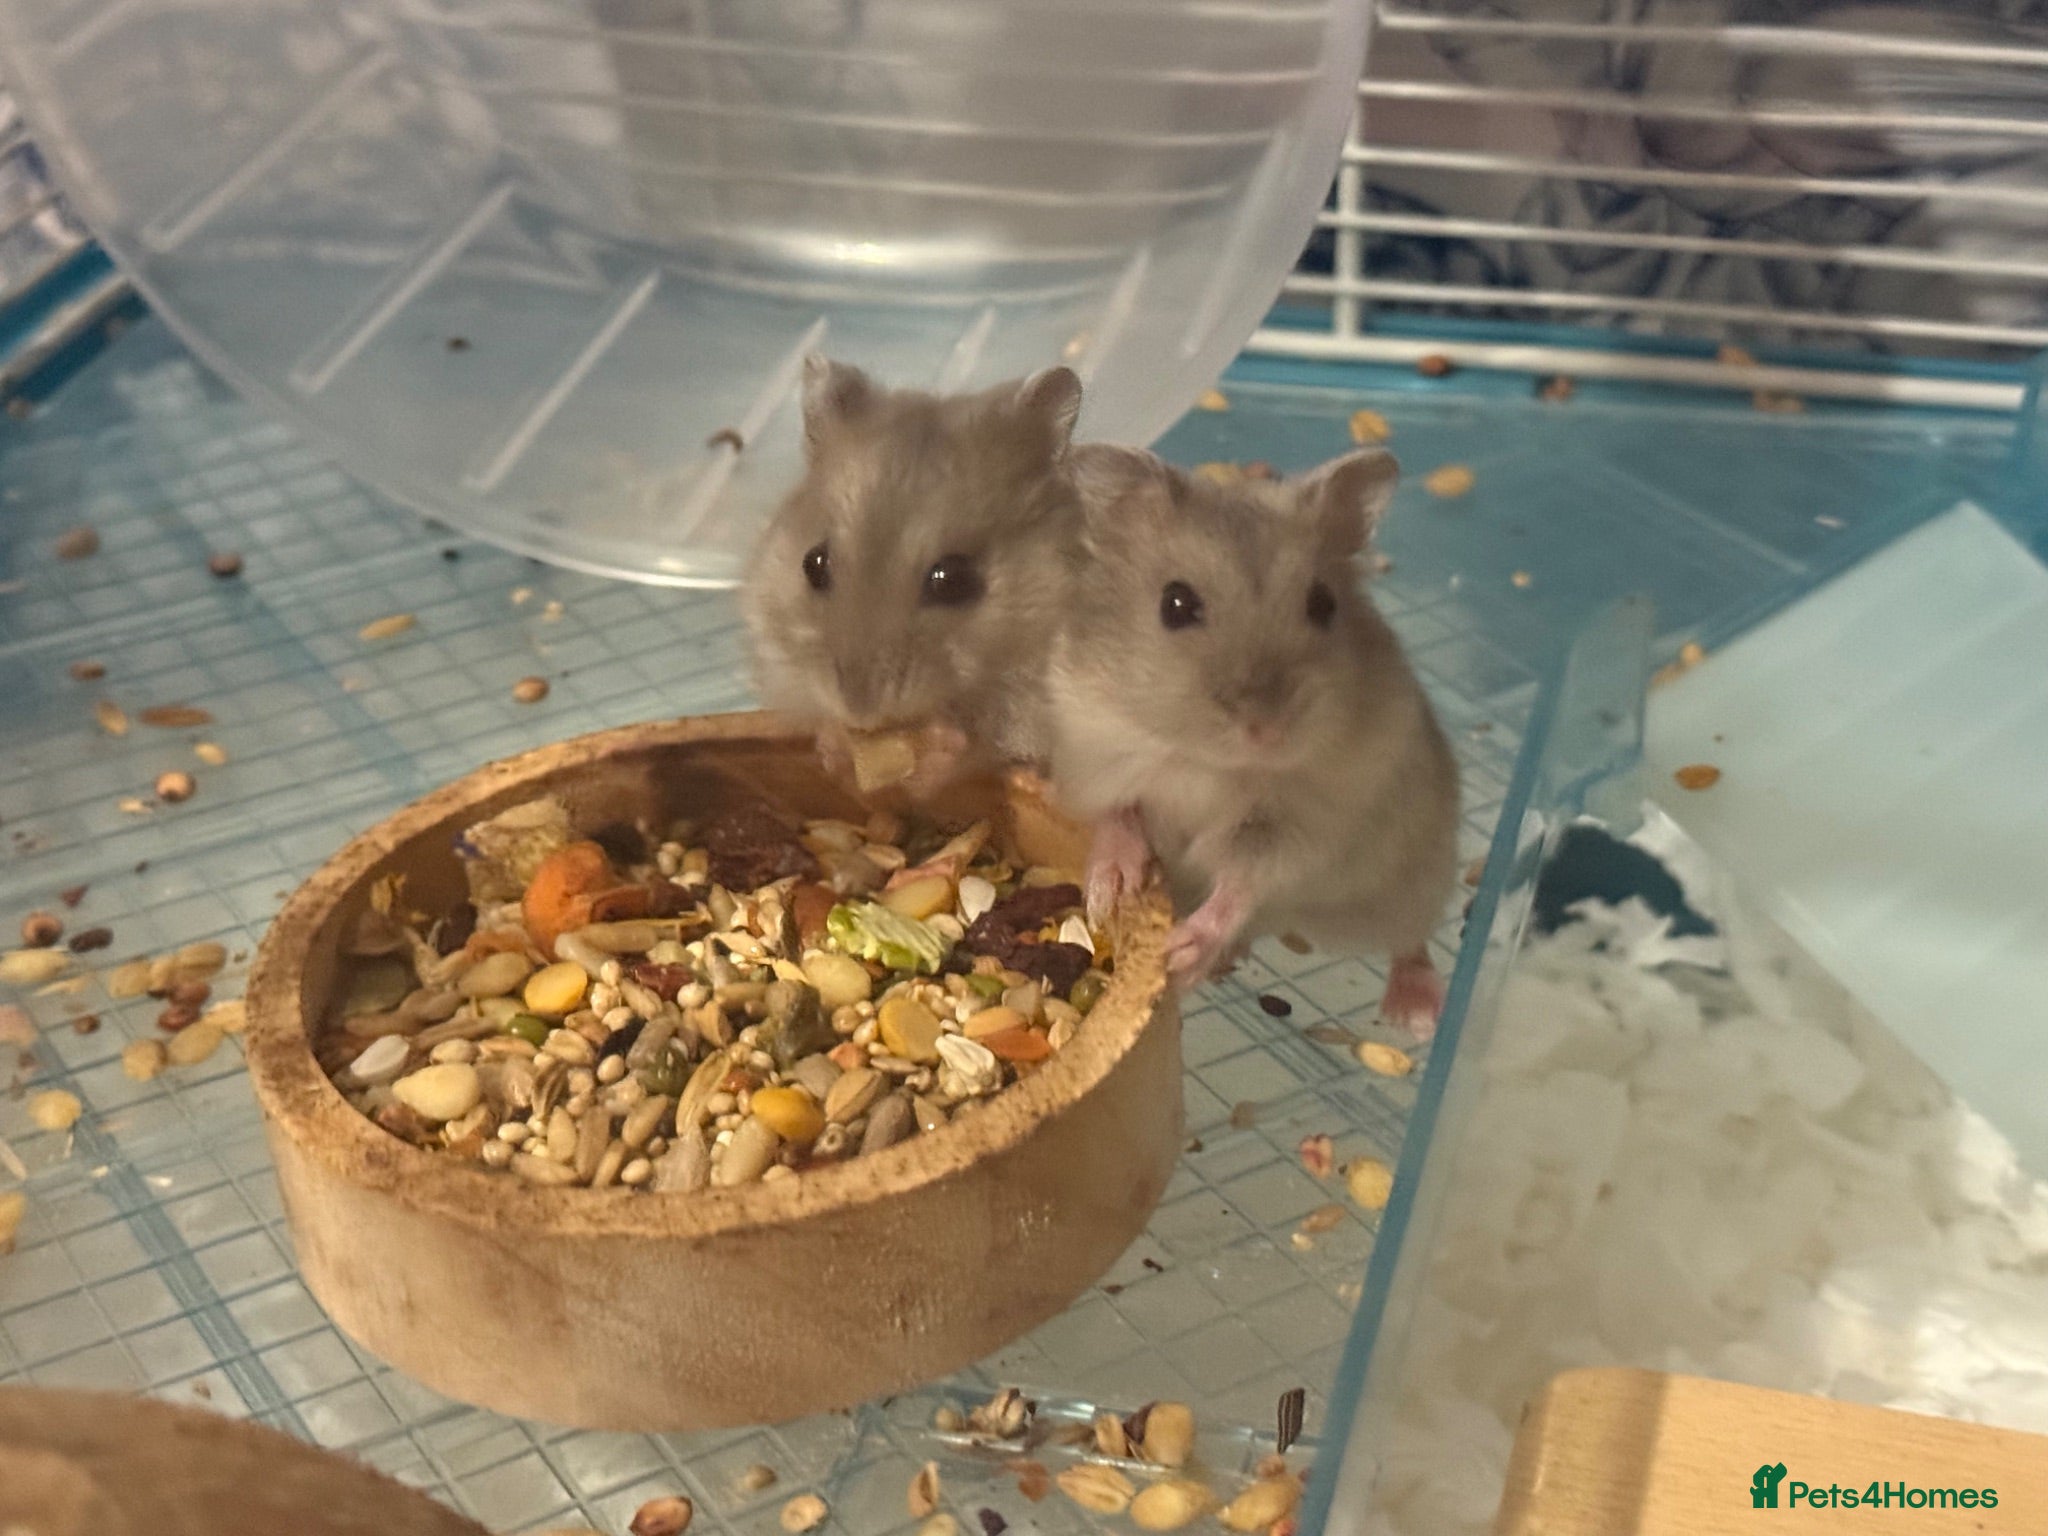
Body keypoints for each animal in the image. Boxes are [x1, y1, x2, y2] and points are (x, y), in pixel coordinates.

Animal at [741, 356, 1085, 798]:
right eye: (813, 563)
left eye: (952, 579)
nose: (861, 710)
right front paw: (837, 747)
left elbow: (984, 741)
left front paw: (939, 750)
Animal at [1047, 444, 1460, 1036]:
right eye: (1175, 603)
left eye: (1323, 603)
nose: (1267, 731)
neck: (1210, 763)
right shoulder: (1096, 755)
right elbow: (1117, 818)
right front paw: (1106, 893)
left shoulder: (1298, 824)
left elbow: (1243, 881)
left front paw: (1183, 952)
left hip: (1412, 883)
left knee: (1412, 940)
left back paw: (1416, 1015)